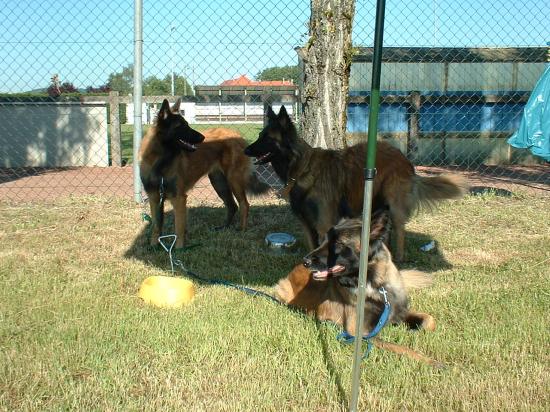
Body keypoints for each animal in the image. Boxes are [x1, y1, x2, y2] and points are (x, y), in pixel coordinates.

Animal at [138, 99, 268, 248]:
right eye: (180, 126)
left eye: (187, 124)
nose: (202, 137)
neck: (161, 160)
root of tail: (238, 135)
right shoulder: (154, 198)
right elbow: (156, 226)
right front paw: (154, 246)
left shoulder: (179, 198)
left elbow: (179, 228)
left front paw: (179, 249)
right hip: (219, 183)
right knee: (232, 206)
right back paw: (224, 227)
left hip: (233, 180)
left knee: (244, 204)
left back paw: (242, 229)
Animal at [246, 106, 470, 260]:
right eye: (260, 135)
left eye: (267, 138)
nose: (246, 150)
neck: (301, 167)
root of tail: (403, 157)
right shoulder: (307, 224)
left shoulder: (324, 224)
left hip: (394, 206)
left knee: (399, 231)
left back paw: (398, 260)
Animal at [276, 209, 444, 366]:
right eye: (325, 240)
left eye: (338, 244)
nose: (305, 261)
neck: (375, 286)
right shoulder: (359, 333)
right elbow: (402, 347)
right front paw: (429, 360)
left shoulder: (398, 310)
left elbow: (429, 320)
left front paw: (413, 331)